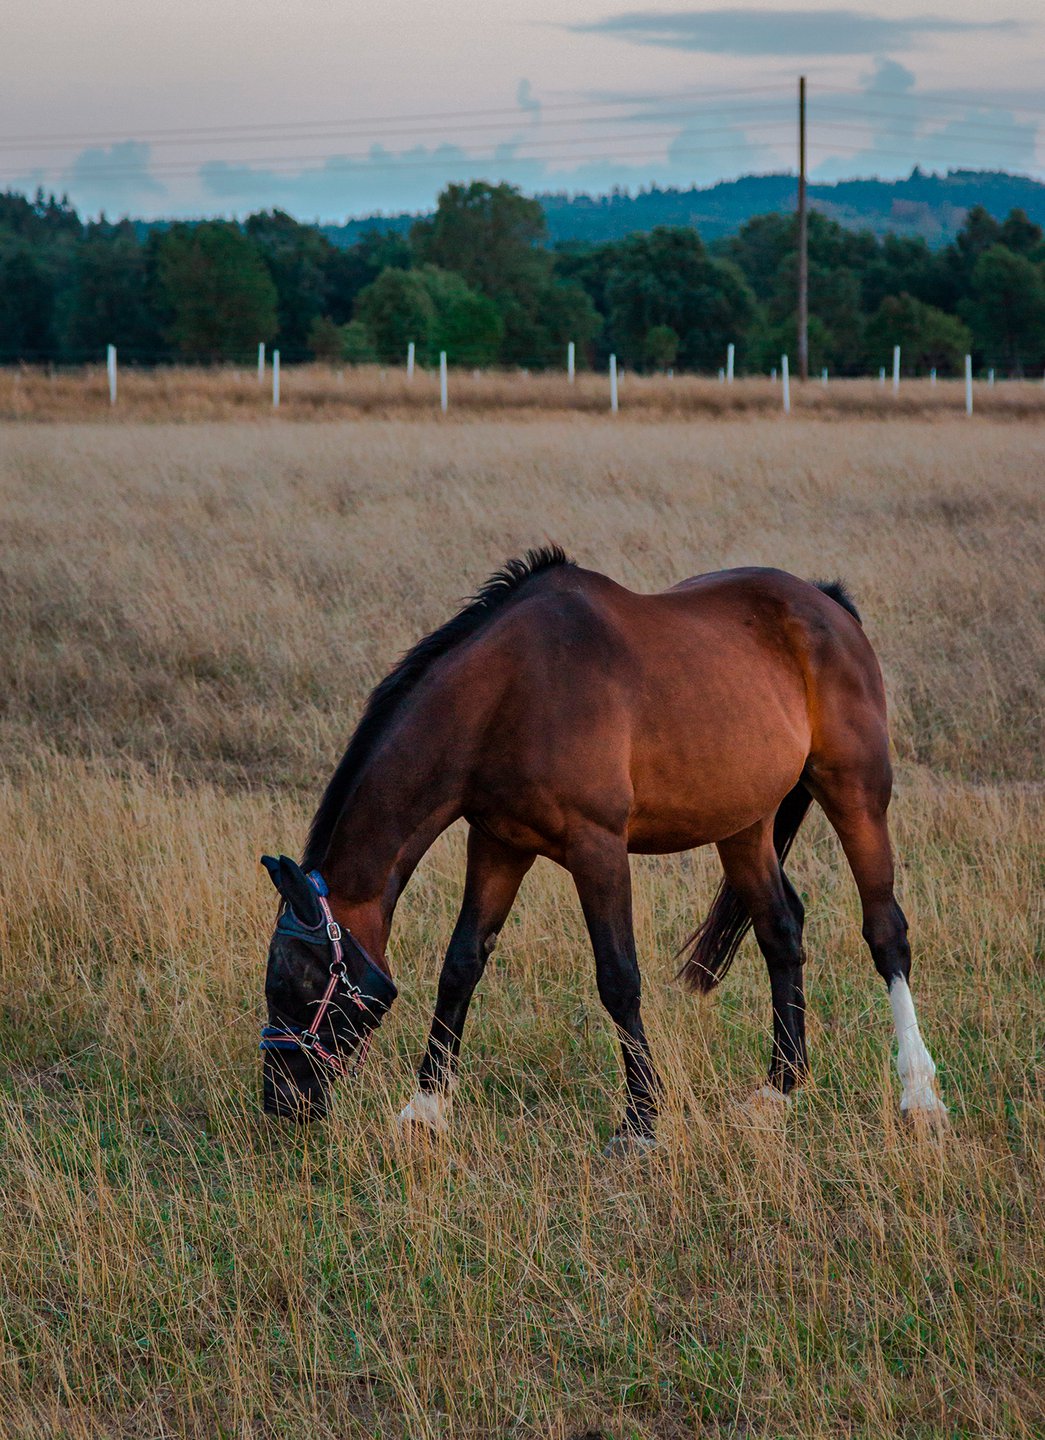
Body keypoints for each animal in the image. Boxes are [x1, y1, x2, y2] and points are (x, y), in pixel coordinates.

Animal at [259, 547, 947, 1151]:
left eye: (296, 979)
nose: (281, 1103)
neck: (509, 693)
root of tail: (826, 602)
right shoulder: (498, 844)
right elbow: (461, 966)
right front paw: (424, 1112)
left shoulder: (598, 849)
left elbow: (618, 979)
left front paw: (640, 1123)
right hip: (745, 825)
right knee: (781, 932)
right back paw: (776, 1092)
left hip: (855, 794)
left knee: (886, 932)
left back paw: (919, 1097)